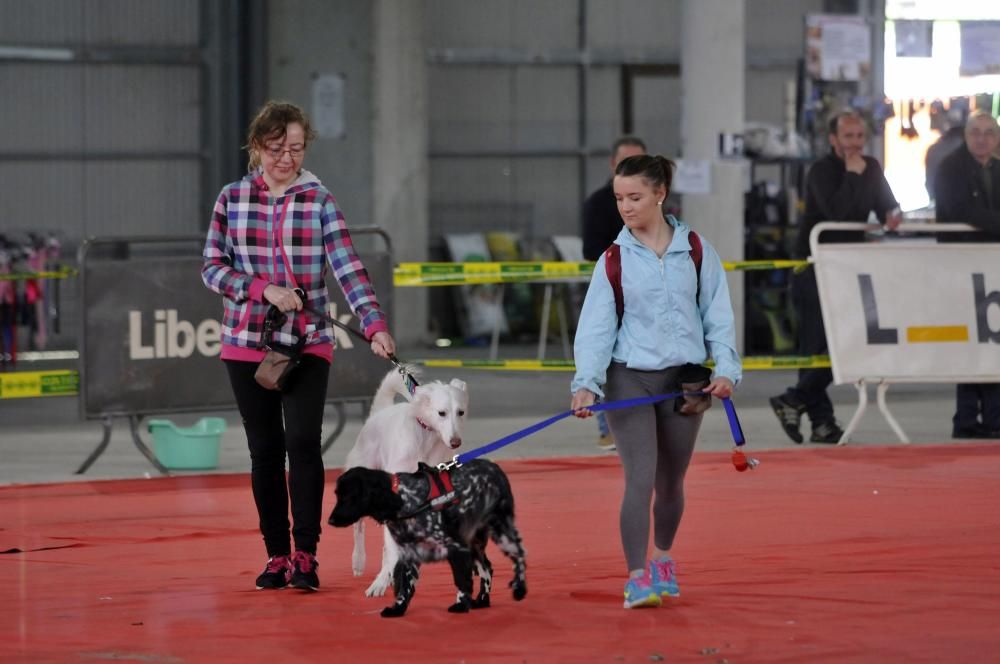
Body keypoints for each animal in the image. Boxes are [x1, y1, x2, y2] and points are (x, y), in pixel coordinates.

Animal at [330, 460, 532, 616]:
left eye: (348, 497)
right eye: (337, 495)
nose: (330, 520)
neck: (405, 500)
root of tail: (495, 468)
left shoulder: (456, 548)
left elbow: (462, 581)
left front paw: (460, 605)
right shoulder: (409, 553)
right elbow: (404, 586)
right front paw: (397, 609)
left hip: (501, 531)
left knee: (519, 555)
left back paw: (519, 589)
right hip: (474, 543)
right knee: (487, 568)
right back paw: (482, 600)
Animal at [344, 368, 468, 596]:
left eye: (461, 412)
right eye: (441, 413)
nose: (456, 442)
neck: (427, 438)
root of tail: (380, 412)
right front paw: (381, 582)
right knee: (359, 528)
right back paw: (358, 561)